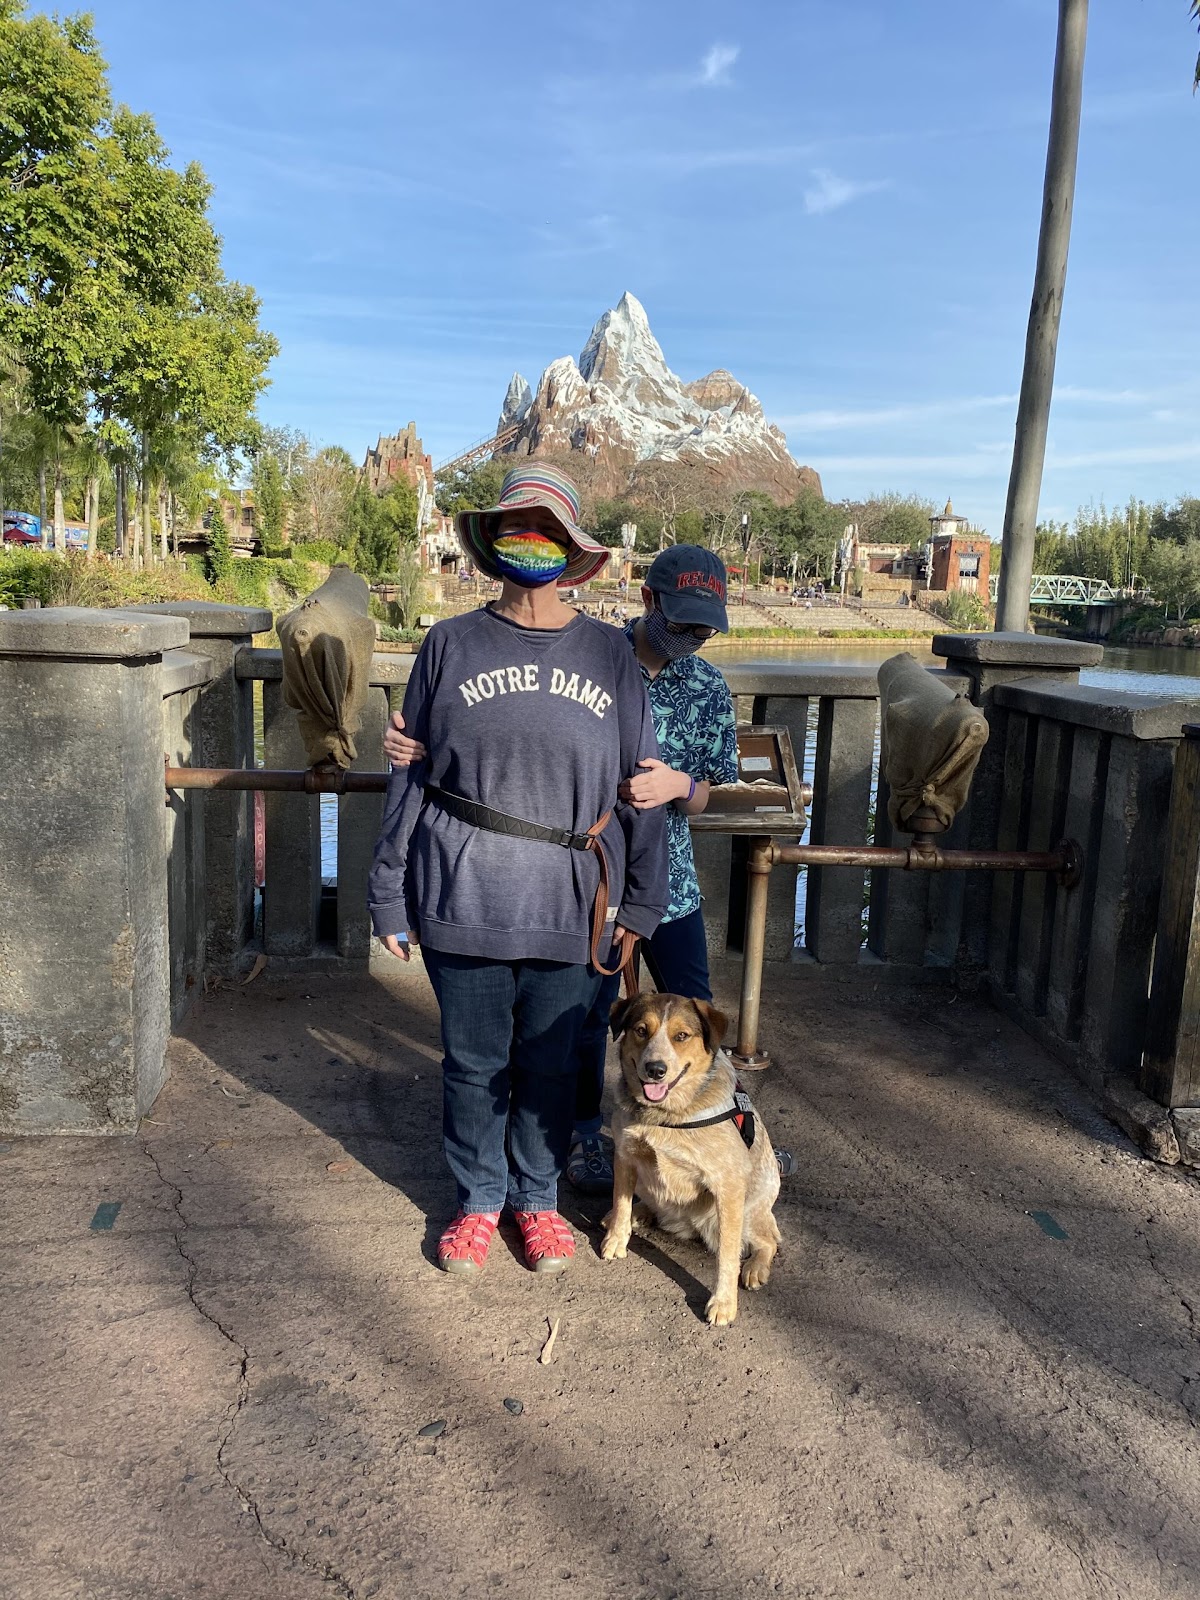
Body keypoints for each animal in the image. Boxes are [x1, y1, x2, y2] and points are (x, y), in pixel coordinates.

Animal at [604, 998, 784, 1324]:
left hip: (746, 1210)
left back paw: (755, 1268)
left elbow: (728, 1255)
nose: (655, 1069)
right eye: (641, 1030)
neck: (667, 1116)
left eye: (682, 1036)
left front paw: (724, 1302)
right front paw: (616, 1238)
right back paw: (639, 1212)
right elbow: (620, 1202)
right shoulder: (624, 1155)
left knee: (769, 1240)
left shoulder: (727, 1187)